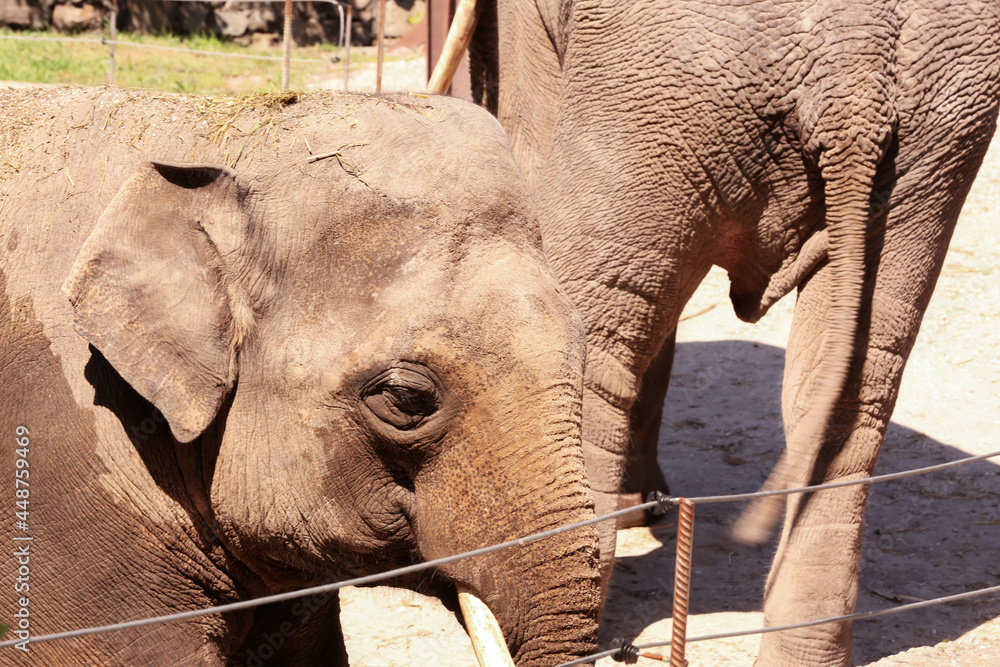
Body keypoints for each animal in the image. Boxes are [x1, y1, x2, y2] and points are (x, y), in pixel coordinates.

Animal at [430, 2, 1000, 664]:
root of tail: (853, 70)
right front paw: (642, 511)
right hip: (936, 134)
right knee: (856, 381)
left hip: (663, 85)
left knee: (589, 323)